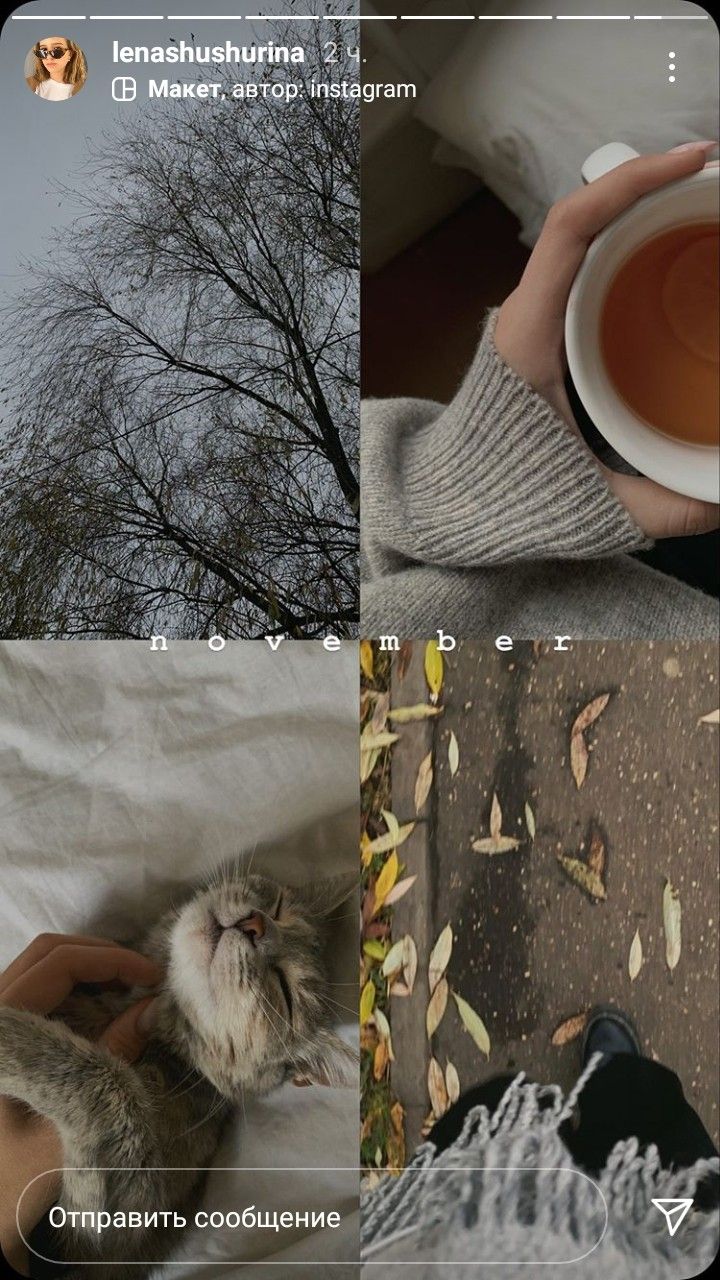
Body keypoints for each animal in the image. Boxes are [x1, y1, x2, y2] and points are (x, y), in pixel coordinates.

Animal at [0, 865, 356, 1274]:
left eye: (284, 990)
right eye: (278, 907)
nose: (256, 924)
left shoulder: (100, 1242)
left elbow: (110, 1085)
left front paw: (11, 1035)